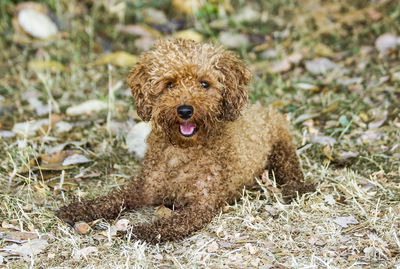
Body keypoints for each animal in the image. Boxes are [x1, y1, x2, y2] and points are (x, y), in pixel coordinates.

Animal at [56, 38, 314, 243]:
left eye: (204, 84)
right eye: (169, 84)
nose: (185, 110)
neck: (182, 152)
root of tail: (264, 109)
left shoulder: (201, 205)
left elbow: (169, 225)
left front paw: (142, 231)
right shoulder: (143, 188)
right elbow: (111, 199)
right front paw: (77, 209)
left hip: (281, 144)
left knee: (292, 168)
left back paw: (297, 187)